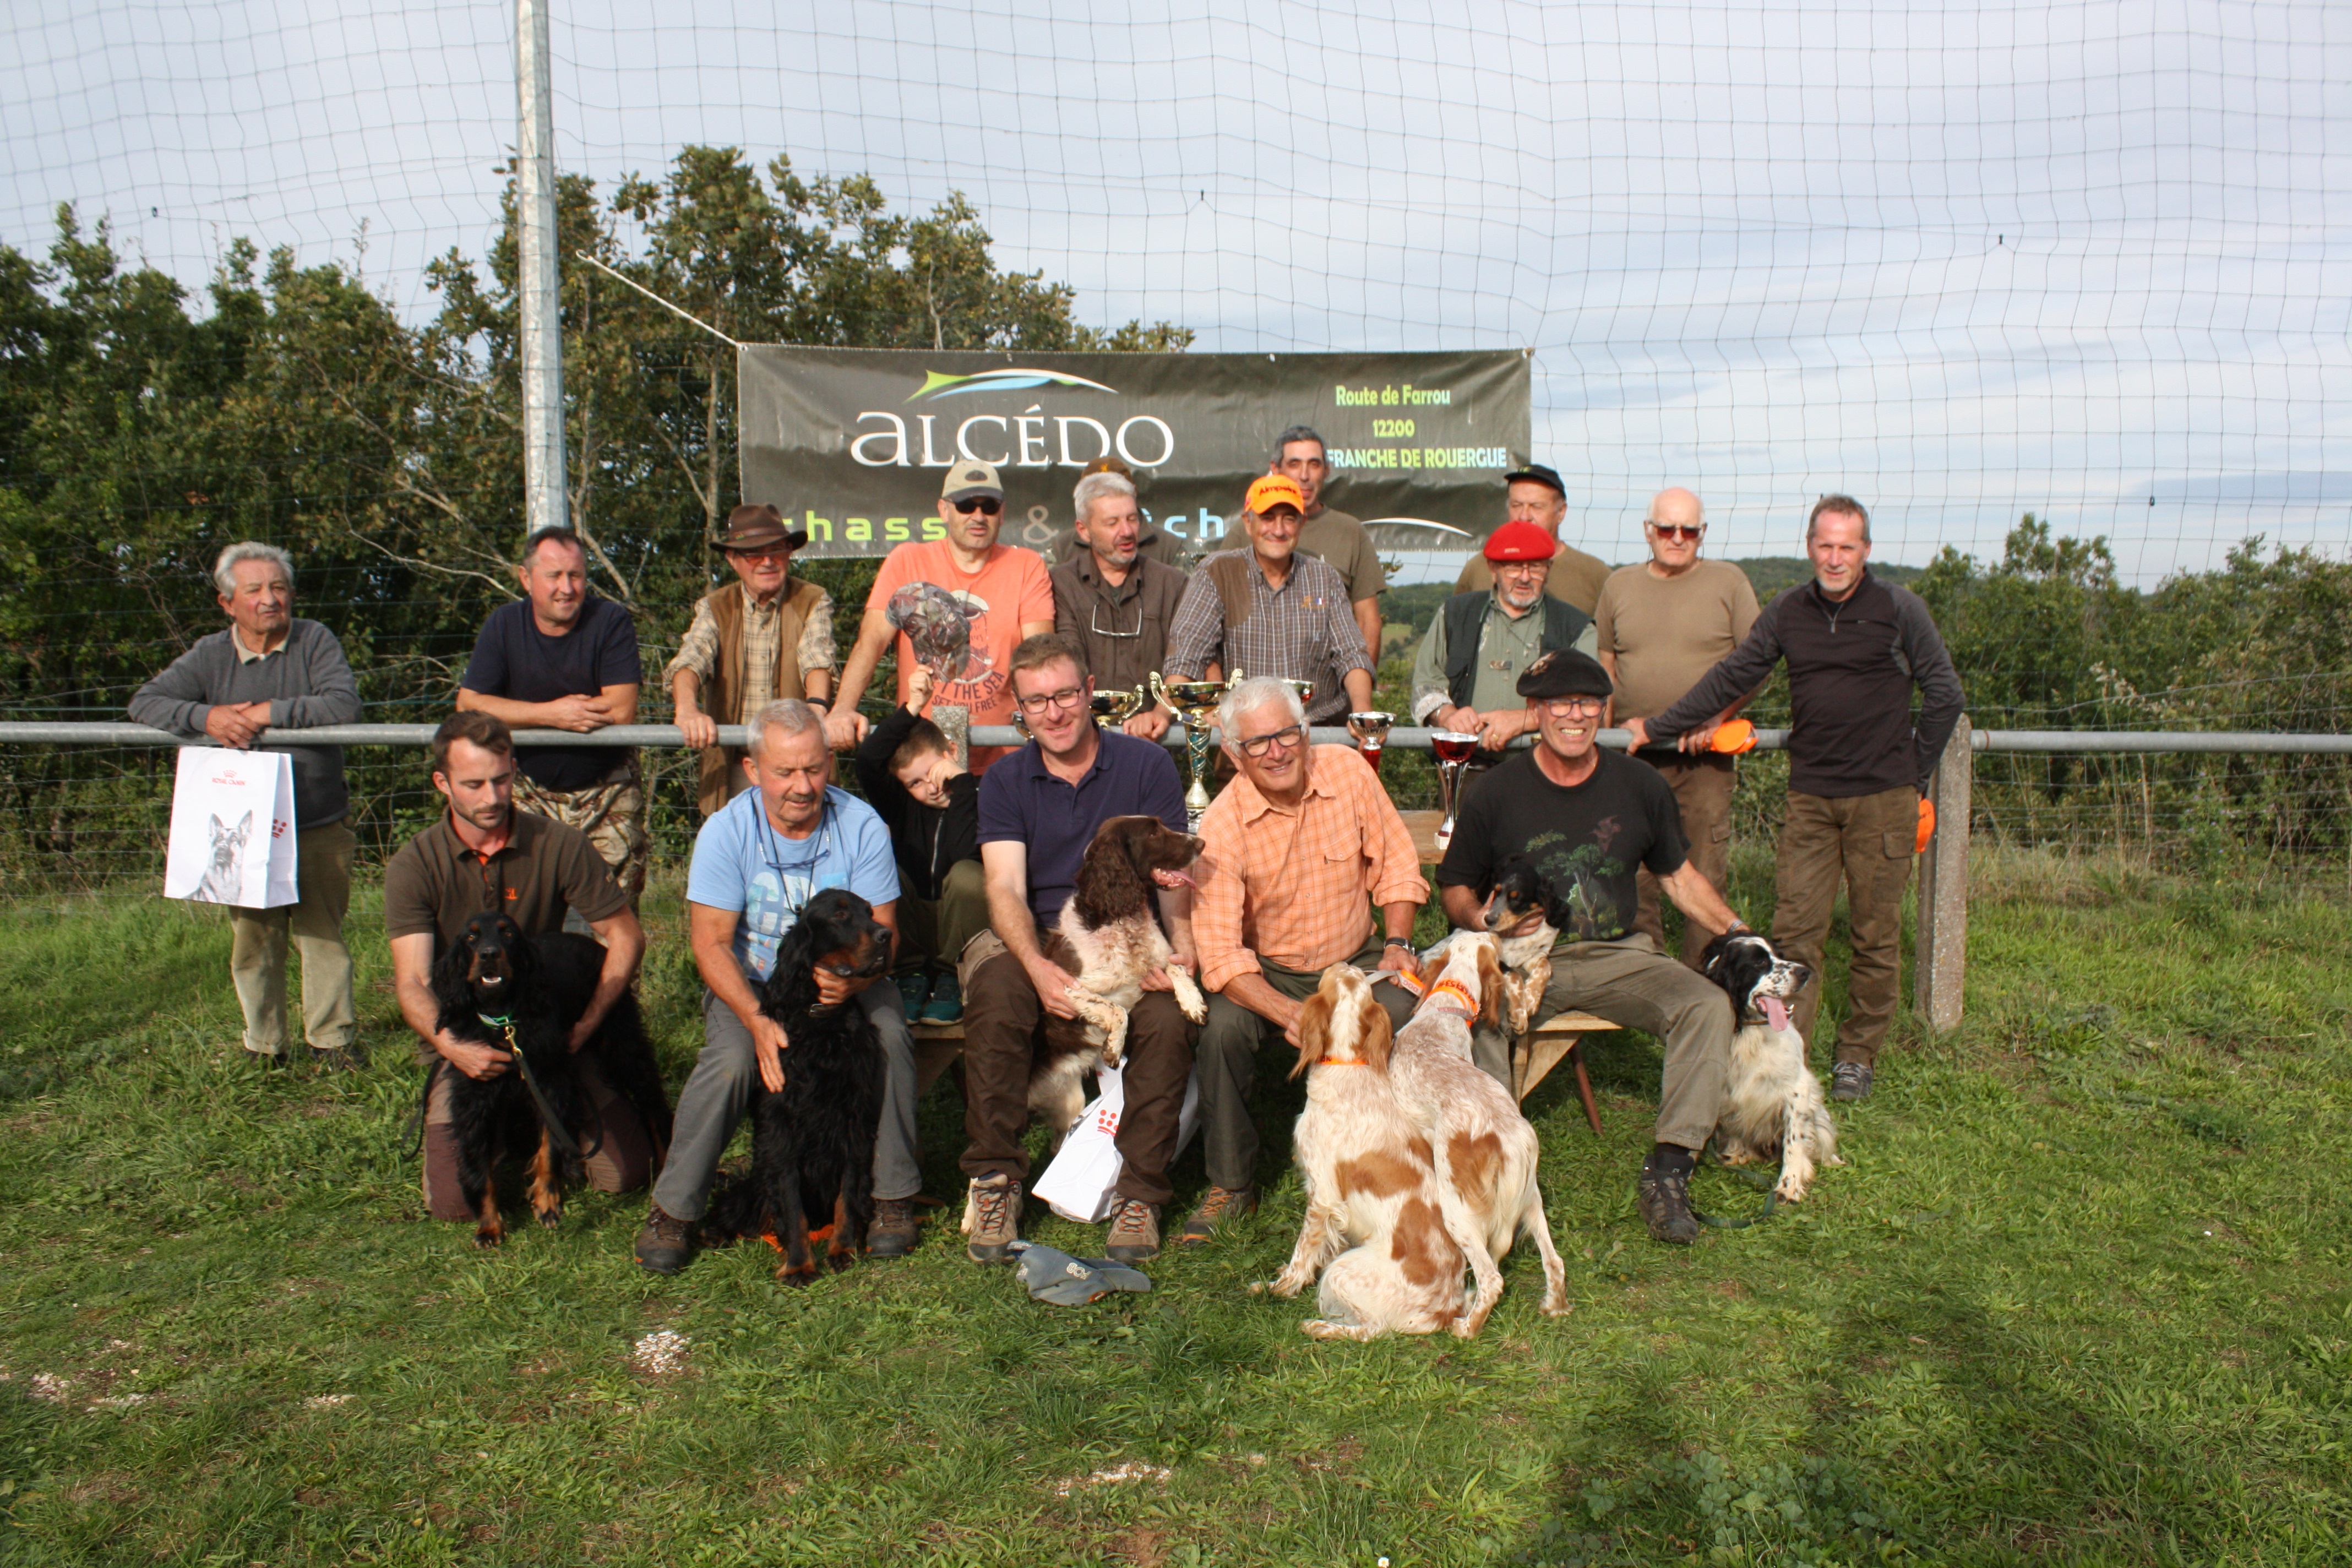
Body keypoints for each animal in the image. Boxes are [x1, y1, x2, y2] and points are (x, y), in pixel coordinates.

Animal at [433, 912, 677, 1241]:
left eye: (508, 934)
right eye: (471, 937)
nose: (488, 954)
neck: (503, 1019)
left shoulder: (550, 1080)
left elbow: (549, 1145)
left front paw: (547, 1202)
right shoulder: (473, 1091)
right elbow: (477, 1161)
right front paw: (489, 1224)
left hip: (622, 1041)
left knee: (651, 1100)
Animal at [701, 889, 894, 1278]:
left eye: (870, 912)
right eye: (839, 916)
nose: (886, 936)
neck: (820, 1019)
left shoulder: (852, 1119)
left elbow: (848, 1191)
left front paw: (843, 1248)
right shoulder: (782, 1128)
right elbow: (791, 1203)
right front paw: (799, 1265)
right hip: (756, 1181)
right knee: (737, 1203)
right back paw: (713, 1231)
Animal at [1251, 963, 1467, 1344]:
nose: (1345, 963)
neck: (1348, 1063)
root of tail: (1444, 1310)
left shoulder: (1322, 1194)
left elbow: (1303, 1252)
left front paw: (1280, 1287)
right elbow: (1326, 1243)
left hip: (1344, 1273)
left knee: (1372, 1331)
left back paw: (1319, 1327)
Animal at [1702, 930, 1844, 1204]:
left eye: (1780, 955)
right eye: (1759, 962)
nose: (1804, 972)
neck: (1752, 1034)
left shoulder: (1797, 1089)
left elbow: (1794, 1142)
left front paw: (1790, 1185)